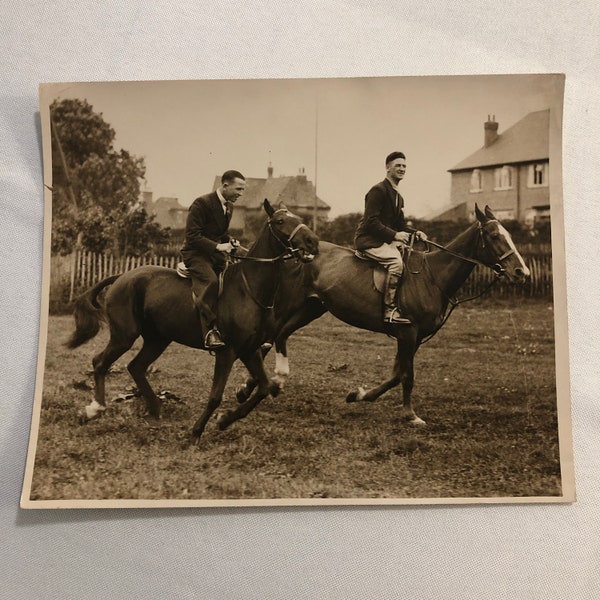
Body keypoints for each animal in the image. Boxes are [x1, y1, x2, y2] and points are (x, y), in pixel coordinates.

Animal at [66, 199, 322, 438]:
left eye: (300, 217)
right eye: (280, 221)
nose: (313, 242)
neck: (249, 290)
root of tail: (122, 276)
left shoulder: (250, 350)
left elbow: (264, 388)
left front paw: (225, 420)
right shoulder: (227, 352)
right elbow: (216, 396)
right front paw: (197, 430)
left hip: (157, 339)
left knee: (136, 367)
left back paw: (155, 408)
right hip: (124, 336)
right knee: (100, 362)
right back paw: (95, 409)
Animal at [238, 206, 528, 426]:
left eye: (507, 234)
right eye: (494, 235)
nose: (521, 272)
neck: (432, 277)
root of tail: (294, 252)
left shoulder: (413, 337)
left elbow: (396, 374)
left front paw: (359, 395)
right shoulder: (407, 332)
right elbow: (407, 376)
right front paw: (410, 415)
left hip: (311, 308)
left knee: (278, 335)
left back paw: (257, 384)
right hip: (289, 305)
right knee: (269, 337)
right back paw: (249, 386)